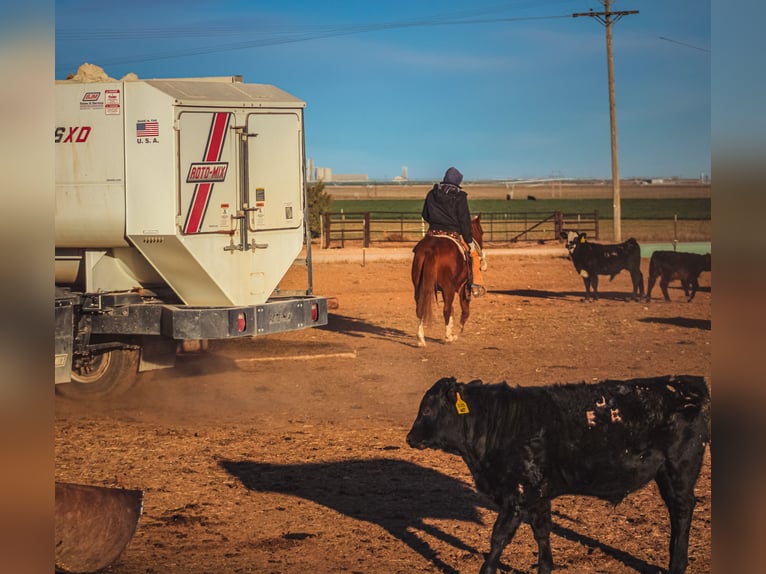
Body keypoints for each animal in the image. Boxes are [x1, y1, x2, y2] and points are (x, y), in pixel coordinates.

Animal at [408, 378, 712, 574]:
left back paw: (677, 565)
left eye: (427, 409)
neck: (498, 423)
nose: (410, 438)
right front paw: (545, 567)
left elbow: (499, 537)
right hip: (667, 475)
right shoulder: (538, 493)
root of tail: (689, 386)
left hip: (679, 472)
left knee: (682, 512)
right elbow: (542, 531)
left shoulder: (517, 494)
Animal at [414, 216, 486, 348]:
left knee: (420, 309)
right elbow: (464, 311)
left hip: (418, 287)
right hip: (449, 289)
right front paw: (456, 332)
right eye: (482, 232)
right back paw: (448, 338)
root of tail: (431, 250)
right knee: (446, 309)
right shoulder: (463, 287)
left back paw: (421, 339)